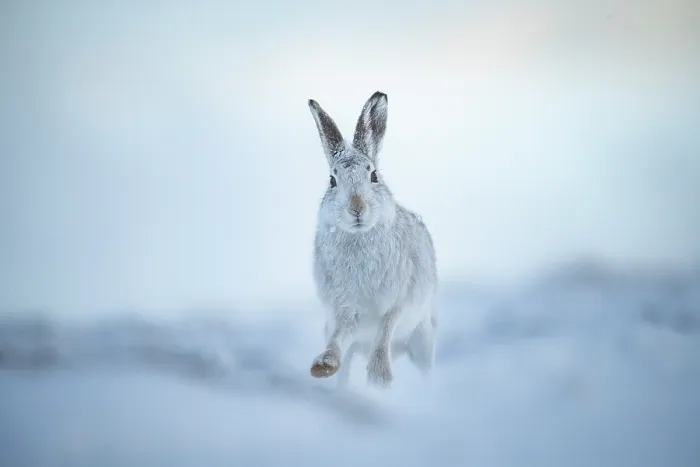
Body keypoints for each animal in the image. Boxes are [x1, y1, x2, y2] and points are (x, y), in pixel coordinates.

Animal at [307, 91, 438, 389]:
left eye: (373, 175)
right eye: (332, 180)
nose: (356, 208)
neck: (359, 237)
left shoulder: (398, 300)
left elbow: (385, 329)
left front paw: (379, 379)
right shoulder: (343, 307)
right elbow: (340, 334)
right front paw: (323, 365)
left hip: (423, 334)